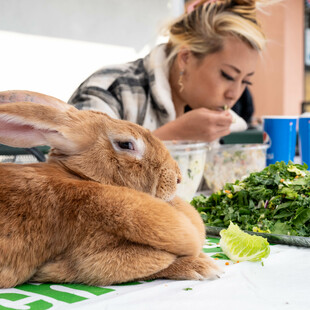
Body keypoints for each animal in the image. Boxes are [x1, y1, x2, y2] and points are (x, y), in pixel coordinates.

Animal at [0, 90, 222, 288]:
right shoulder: (94, 258)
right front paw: (203, 266)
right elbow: (159, 262)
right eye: (126, 144)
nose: (177, 178)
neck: (82, 177)